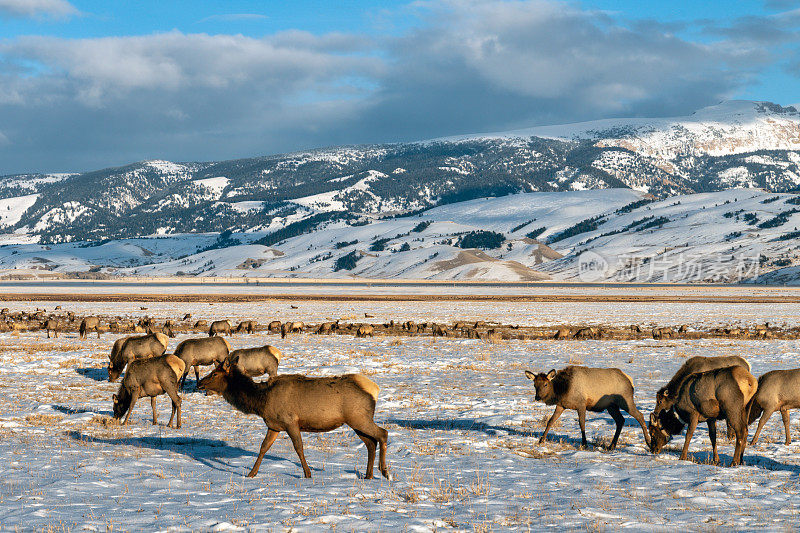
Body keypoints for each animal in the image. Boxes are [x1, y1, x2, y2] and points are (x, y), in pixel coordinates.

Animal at [198, 360, 390, 480]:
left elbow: (298, 447)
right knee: (371, 443)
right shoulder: (274, 426)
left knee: (383, 433)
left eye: (214, 374)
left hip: (359, 418)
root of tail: (374, 389)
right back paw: (368, 475)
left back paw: (385, 471)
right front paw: (251, 473)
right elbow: (263, 448)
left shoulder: (290, 422)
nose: (199, 383)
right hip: (355, 422)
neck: (261, 402)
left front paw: (308, 473)